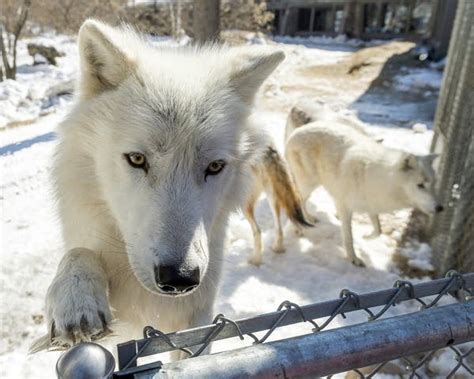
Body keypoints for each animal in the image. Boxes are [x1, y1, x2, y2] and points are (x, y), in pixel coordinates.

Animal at [31, 20, 284, 354]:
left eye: (215, 167)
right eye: (137, 159)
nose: (180, 278)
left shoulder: (199, 315)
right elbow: (78, 253)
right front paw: (76, 298)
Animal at [286, 109, 444, 268]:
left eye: (433, 183)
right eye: (420, 185)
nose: (440, 208)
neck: (382, 178)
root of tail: (295, 133)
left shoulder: (371, 205)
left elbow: (378, 230)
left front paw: (366, 237)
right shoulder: (345, 206)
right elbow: (348, 237)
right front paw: (353, 258)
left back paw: (310, 218)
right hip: (309, 185)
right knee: (297, 200)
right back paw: (300, 225)